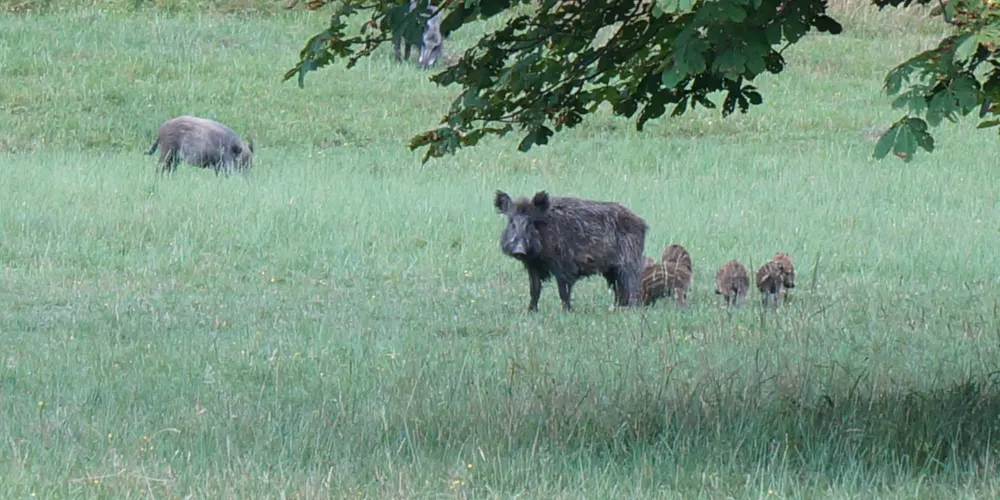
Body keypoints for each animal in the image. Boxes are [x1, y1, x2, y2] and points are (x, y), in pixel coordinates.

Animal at [494, 190, 648, 312]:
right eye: (511, 222)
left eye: (530, 222)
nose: (519, 250)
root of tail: (642, 223)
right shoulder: (533, 267)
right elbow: (534, 290)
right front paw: (530, 312)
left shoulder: (564, 265)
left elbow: (563, 291)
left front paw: (566, 312)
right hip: (611, 270)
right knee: (619, 289)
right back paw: (616, 309)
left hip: (629, 262)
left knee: (632, 287)